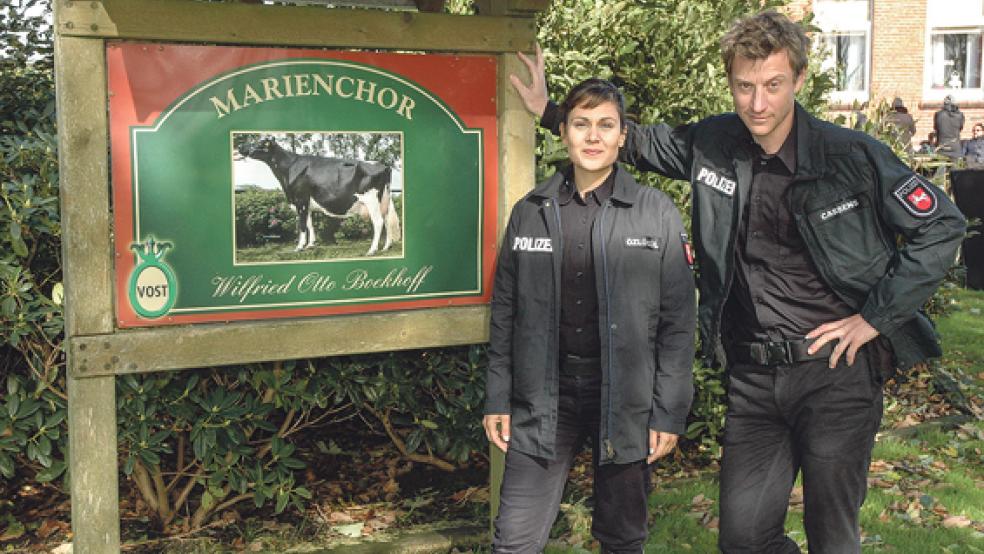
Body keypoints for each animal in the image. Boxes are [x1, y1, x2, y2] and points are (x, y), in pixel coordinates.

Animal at [242, 138, 400, 254]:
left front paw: (299, 247)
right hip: (384, 201)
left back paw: (372, 250)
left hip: (371, 200)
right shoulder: (307, 204)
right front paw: (310, 245)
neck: (289, 168)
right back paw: (386, 247)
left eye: (261, 143)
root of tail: (384, 166)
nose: (242, 147)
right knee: (387, 221)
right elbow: (309, 223)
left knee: (378, 222)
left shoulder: (300, 200)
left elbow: (302, 225)